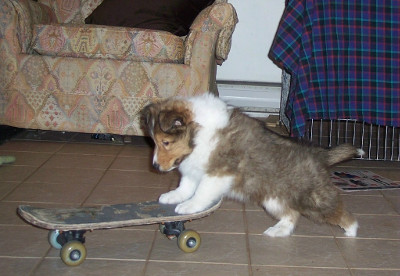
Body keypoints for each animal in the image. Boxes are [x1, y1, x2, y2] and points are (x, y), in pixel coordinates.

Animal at [143, 92, 360, 237]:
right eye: (154, 141)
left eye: (166, 142)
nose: (155, 167)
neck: (200, 133)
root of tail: (318, 154)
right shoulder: (193, 168)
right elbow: (185, 186)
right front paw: (173, 197)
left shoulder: (219, 173)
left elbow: (201, 192)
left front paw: (189, 206)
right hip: (273, 199)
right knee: (291, 214)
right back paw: (278, 230)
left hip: (313, 199)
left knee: (339, 211)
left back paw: (352, 230)